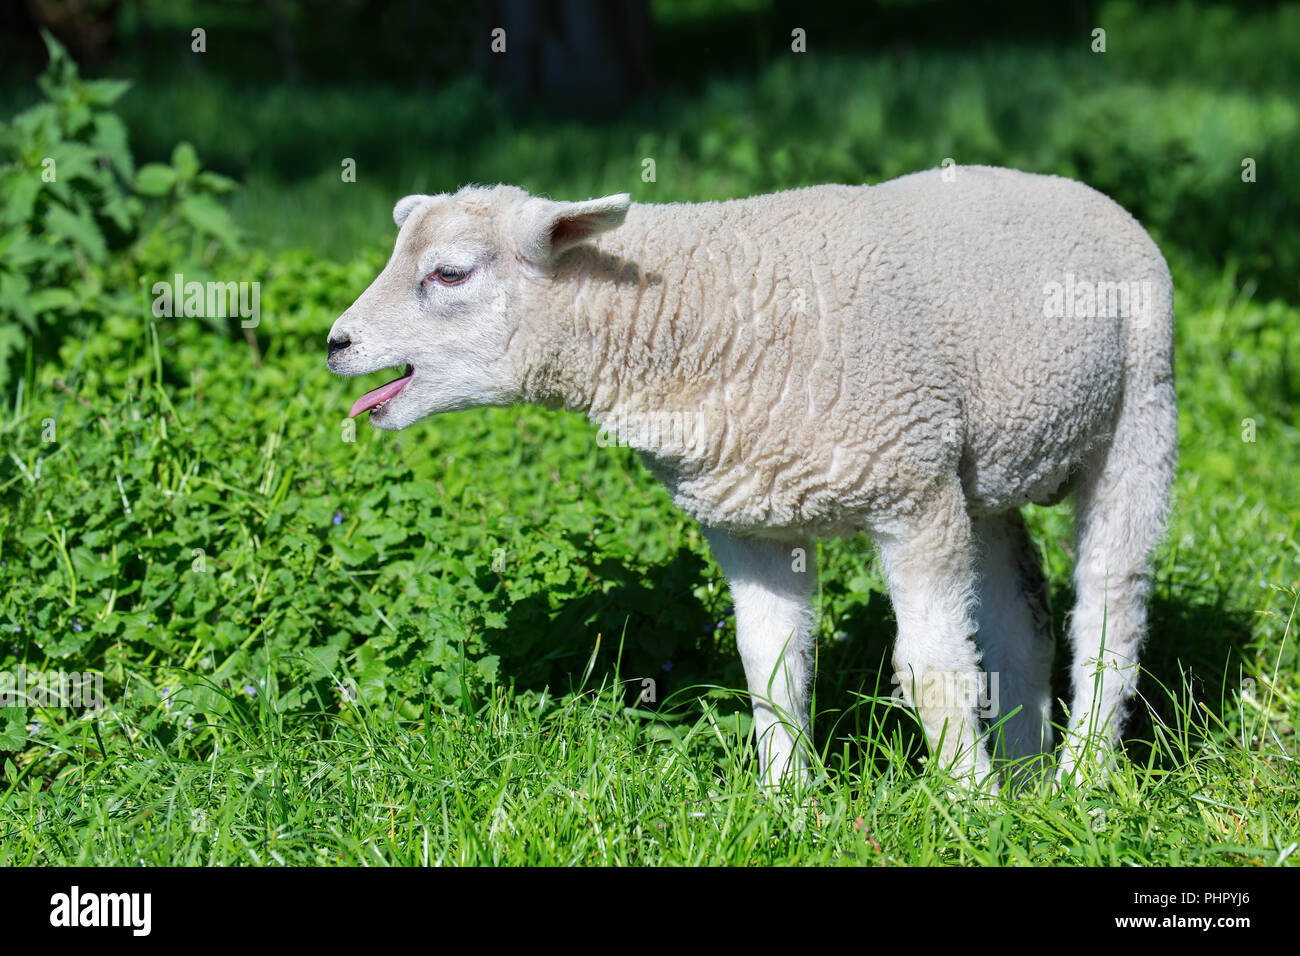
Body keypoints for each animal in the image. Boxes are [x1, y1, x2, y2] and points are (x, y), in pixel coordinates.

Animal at [325, 166, 1180, 790]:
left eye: (449, 274)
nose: (336, 343)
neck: (706, 310)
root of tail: (1075, 188)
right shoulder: (751, 516)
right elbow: (770, 662)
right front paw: (789, 803)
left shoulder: (913, 492)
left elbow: (932, 669)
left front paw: (968, 807)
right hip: (985, 467)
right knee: (1020, 621)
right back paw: (1028, 774)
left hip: (1143, 407)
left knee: (1111, 606)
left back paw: (1081, 777)